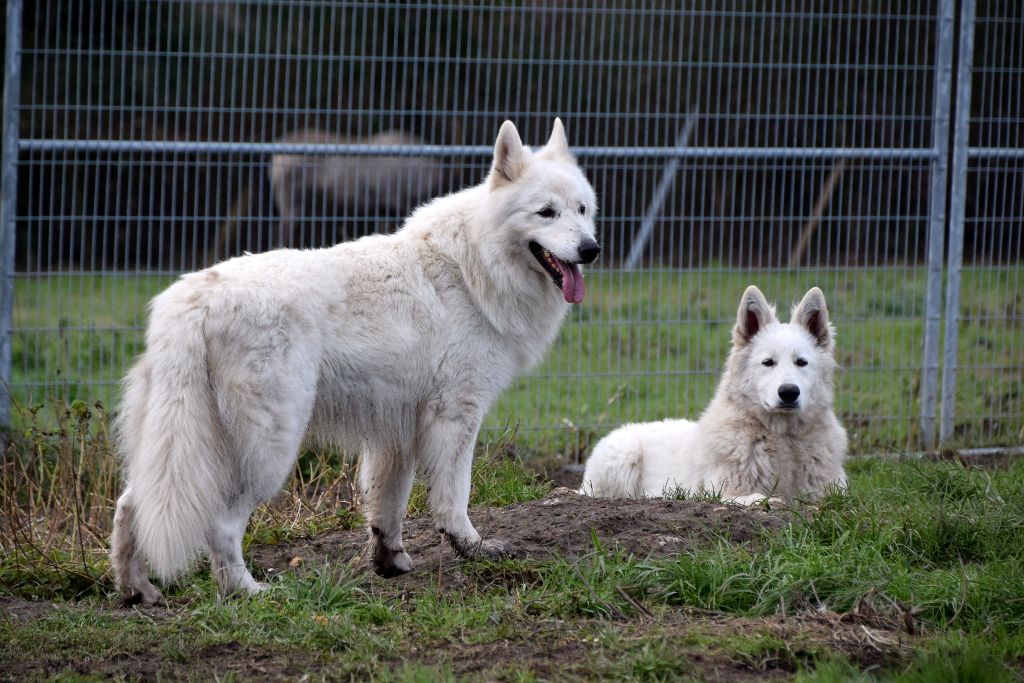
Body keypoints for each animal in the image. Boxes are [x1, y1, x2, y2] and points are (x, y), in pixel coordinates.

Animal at [110, 120, 598, 606]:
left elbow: (387, 508)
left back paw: (138, 591)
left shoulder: (395, 434)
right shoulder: (458, 417)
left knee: (131, 505)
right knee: (222, 526)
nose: (591, 248)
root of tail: (194, 300)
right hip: (267, 451)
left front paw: (390, 563)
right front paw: (473, 548)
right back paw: (249, 590)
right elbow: (454, 498)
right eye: (546, 213)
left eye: (581, 210)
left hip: (179, 448)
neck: (471, 268)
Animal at [581, 286, 851, 505]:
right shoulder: (721, 493)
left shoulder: (834, 493)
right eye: (768, 362)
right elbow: (756, 498)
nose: (788, 392)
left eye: (801, 362)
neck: (783, 438)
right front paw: (771, 502)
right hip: (624, 458)